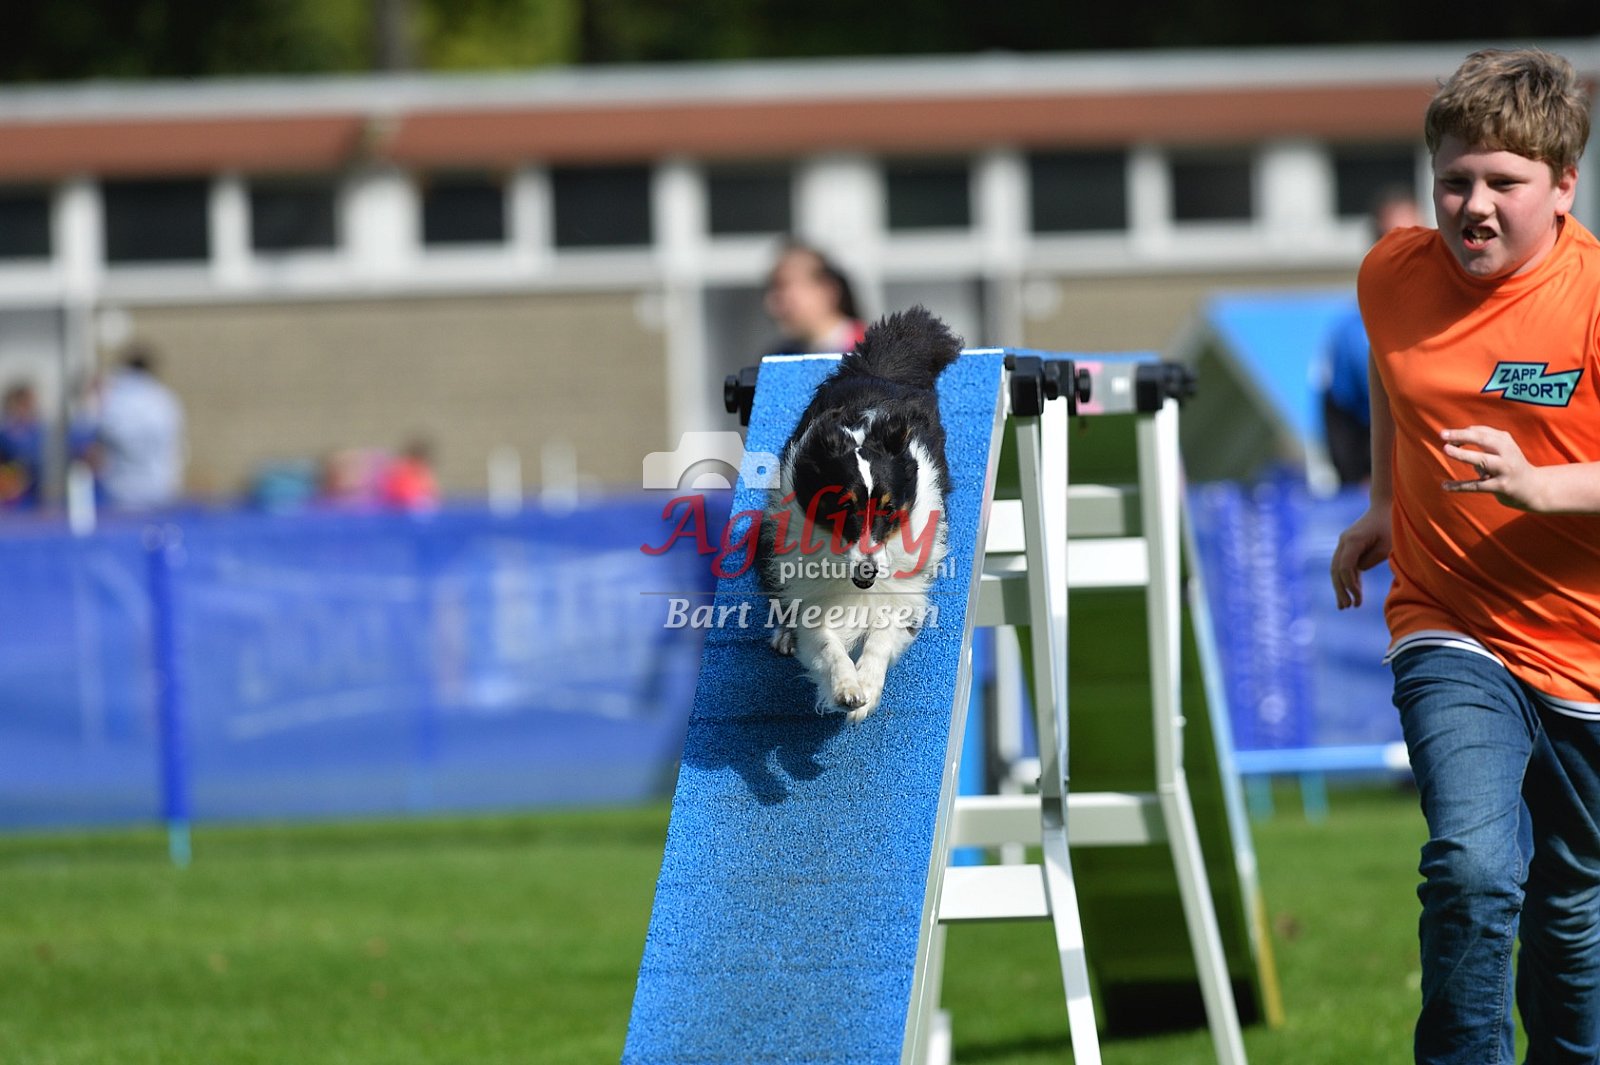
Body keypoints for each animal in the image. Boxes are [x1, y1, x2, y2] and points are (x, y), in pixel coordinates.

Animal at [758, 305, 959, 723]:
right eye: (843, 506)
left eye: (888, 508)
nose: (867, 572)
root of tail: (879, 369)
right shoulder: (812, 586)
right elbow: (824, 641)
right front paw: (845, 688)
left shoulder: (902, 587)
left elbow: (882, 636)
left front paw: (865, 687)